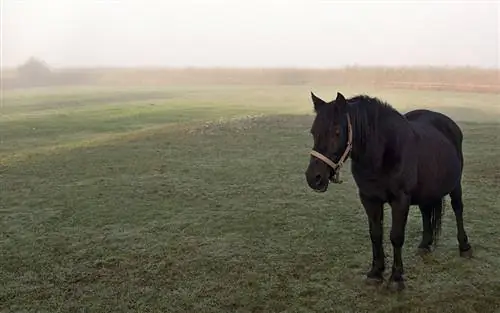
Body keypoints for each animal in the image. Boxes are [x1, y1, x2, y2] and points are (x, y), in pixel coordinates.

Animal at [304, 91, 472, 292]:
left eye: (337, 132)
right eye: (313, 132)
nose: (314, 178)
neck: (381, 152)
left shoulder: (400, 200)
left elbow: (396, 236)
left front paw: (396, 278)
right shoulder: (369, 199)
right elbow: (376, 234)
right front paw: (375, 273)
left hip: (455, 185)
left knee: (458, 208)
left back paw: (464, 246)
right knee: (426, 212)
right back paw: (425, 244)